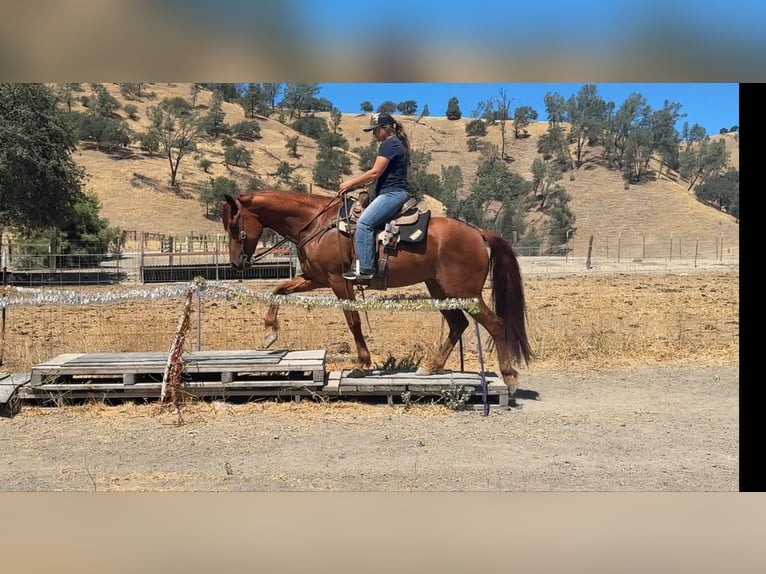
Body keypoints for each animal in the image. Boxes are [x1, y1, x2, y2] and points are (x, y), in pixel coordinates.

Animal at [221, 189, 531, 396]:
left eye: (235, 226)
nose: (235, 263)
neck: (316, 224)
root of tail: (479, 234)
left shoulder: (338, 281)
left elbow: (353, 321)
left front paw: (361, 363)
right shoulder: (314, 278)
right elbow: (278, 291)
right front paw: (269, 334)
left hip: (466, 292)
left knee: (495, 323)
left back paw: (510, 378)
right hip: (441, 290)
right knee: (458, 325)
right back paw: (431, 366)